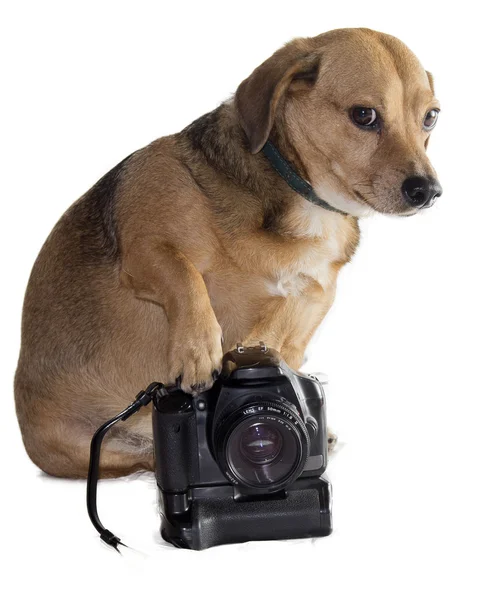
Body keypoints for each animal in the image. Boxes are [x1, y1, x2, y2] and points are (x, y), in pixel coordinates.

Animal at [14, 28, 440, 478]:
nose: (428, 191)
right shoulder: (146, 249)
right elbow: (186, 277)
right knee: (144, 458)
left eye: (430, 117)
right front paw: (198, 350)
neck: (303, 203)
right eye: (364, 115)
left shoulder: (299, 318)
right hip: (93, 451)